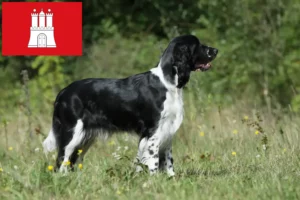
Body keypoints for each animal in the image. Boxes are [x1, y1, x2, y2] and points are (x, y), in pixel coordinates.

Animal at [42, 35, 218, 176]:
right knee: (61, 160)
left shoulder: (167, 130)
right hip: (72, 133)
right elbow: (153, 159)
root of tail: (63, 92)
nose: (216, 50)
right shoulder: (153, 131)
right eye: (198, 45)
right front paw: (154, 179)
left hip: (85, 137)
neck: (167, 83)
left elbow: (168, 160)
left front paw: (171, 178)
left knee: (72, 160)